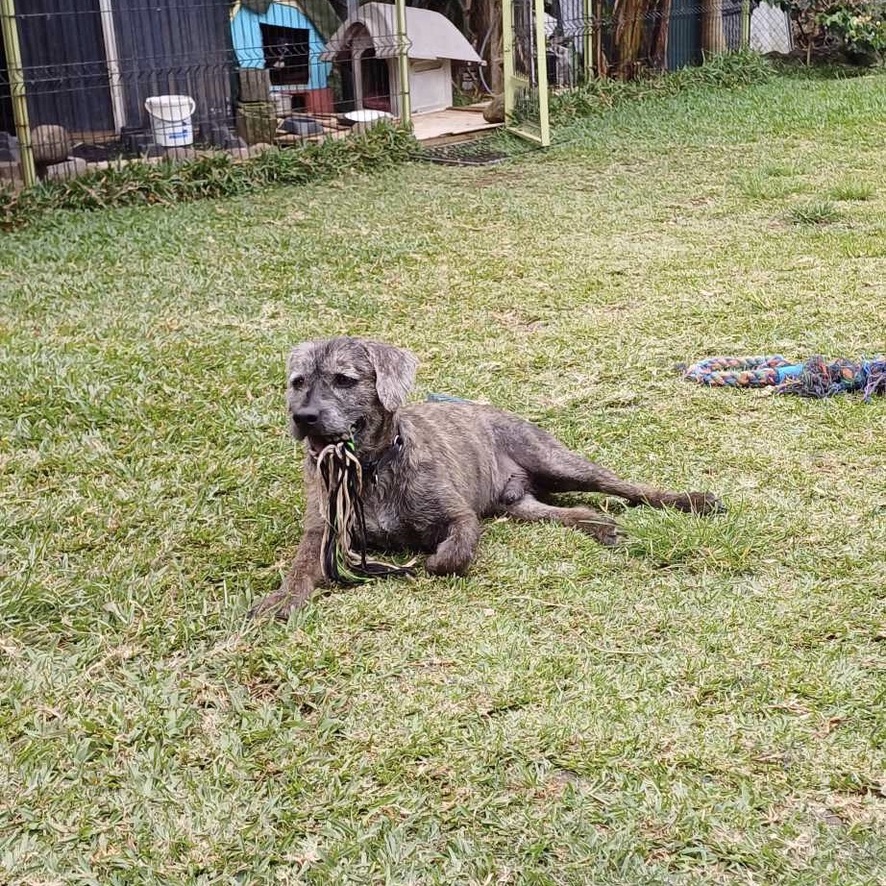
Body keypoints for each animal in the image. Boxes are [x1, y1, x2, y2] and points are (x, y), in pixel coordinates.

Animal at [253, 336, 724, 620]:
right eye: (297, 382)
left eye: (344, 379)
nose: (304, 417)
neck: (372, 469)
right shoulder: (322, 532)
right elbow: (300, 568)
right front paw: (282, 598)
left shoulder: (459, 516)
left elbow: (455, 552)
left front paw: (436, 559)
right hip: (521, 506)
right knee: (571, 510)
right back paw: (598, 525)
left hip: (558, 461)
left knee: (626, 488)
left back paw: (691, 500)